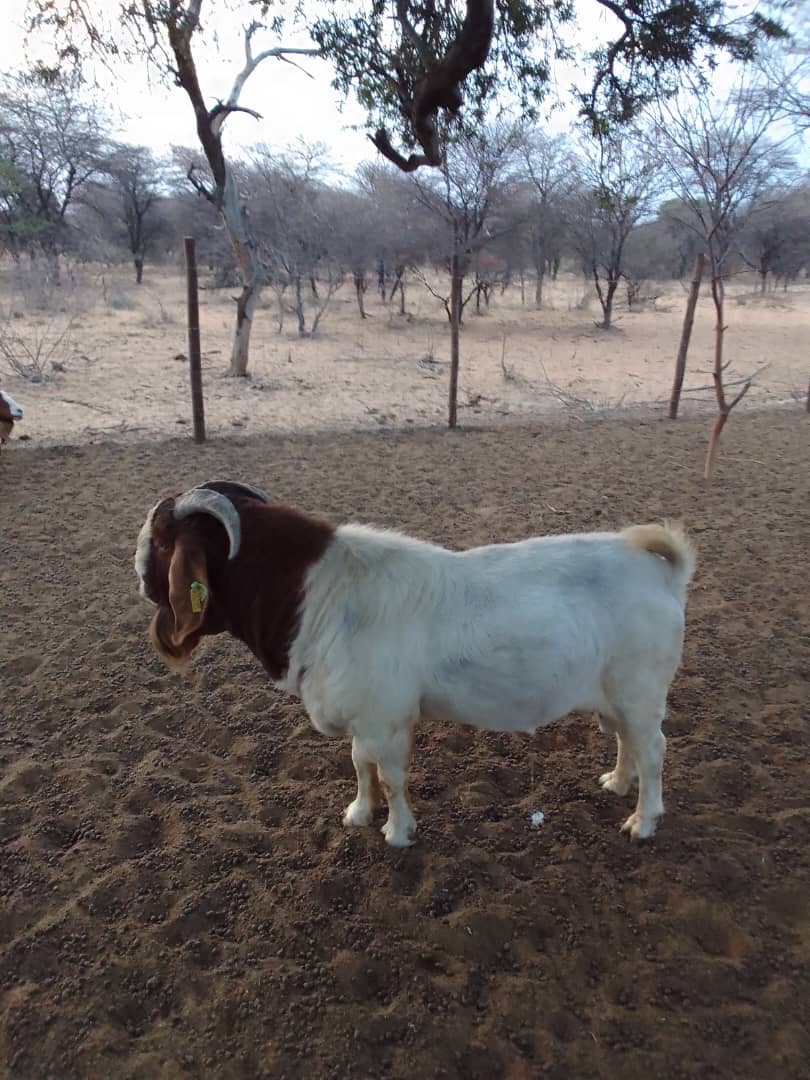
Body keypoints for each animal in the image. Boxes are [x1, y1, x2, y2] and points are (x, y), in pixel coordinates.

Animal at [135, 481, 699, 842]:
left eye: (162, 541)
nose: (139, 578)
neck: (321, 594)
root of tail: (662, 572)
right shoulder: (364, 715)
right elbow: (359, 764)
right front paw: (359, 814)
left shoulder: (387, 718)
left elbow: (390, 776)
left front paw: (397, 832)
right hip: (617, 696)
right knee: (627, 742)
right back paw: (618, 784)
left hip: (642, 692)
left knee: (653, 750)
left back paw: (643, 822)